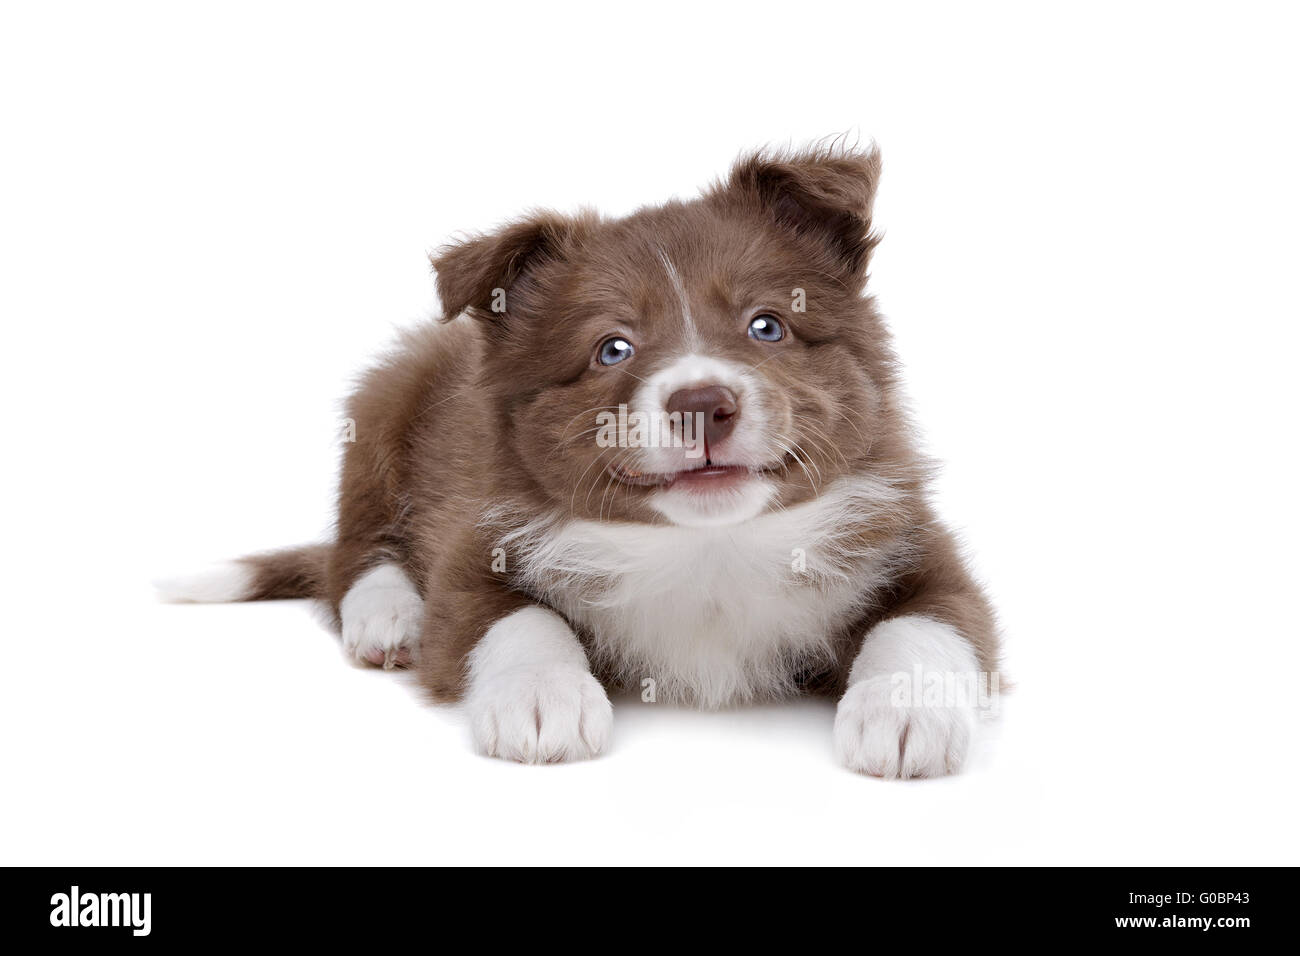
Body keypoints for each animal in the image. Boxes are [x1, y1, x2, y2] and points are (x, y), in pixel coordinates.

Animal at [159, 145, 993, 780]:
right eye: (611, 349)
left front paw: (904, 712)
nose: (704, 404)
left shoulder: (918, 542)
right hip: (382, 410)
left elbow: (927, 621)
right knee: (353, 550)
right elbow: (516, 618)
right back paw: (388, 614)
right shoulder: (476, 543)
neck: (710, 545)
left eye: (768, 326)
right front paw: (542, 700)